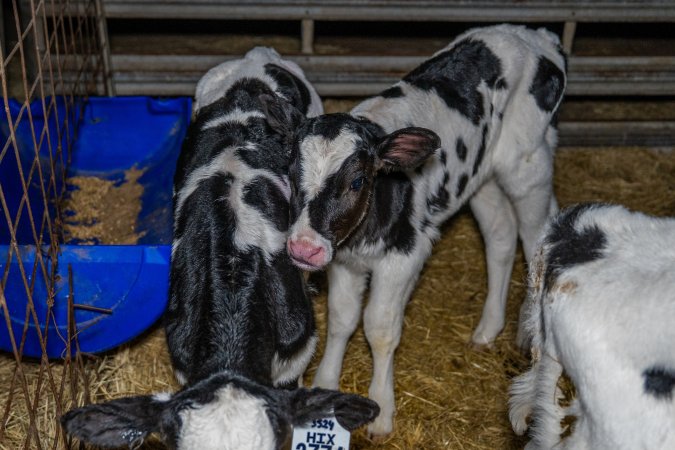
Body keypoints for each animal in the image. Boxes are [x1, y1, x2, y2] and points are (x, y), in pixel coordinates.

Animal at [260, 25, 567, 435]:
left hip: (528, 166)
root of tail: (535, 34)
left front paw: (381, 411)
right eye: (291, 172)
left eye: (357, 181)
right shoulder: (343, 258)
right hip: (480, 178)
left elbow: (379, 327)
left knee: (537, 238)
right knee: (501, 236)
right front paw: (326, 385)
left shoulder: (405, 254)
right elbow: (341, 319)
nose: (304, 248)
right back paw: (488, 328)